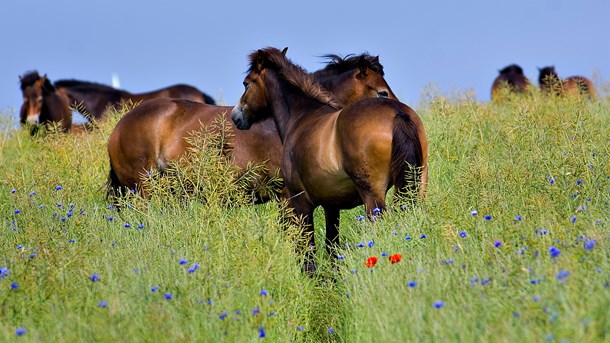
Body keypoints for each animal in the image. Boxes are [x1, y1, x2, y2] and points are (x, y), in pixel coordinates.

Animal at [230, 47, 426, 274]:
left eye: (246, 83)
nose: (236, 116)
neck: (302, 116)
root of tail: (397, 113)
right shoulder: (332, 206)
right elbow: (332, 247)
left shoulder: (299, 204)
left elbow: (307, 251)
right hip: (418, 187)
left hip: (373, 199)